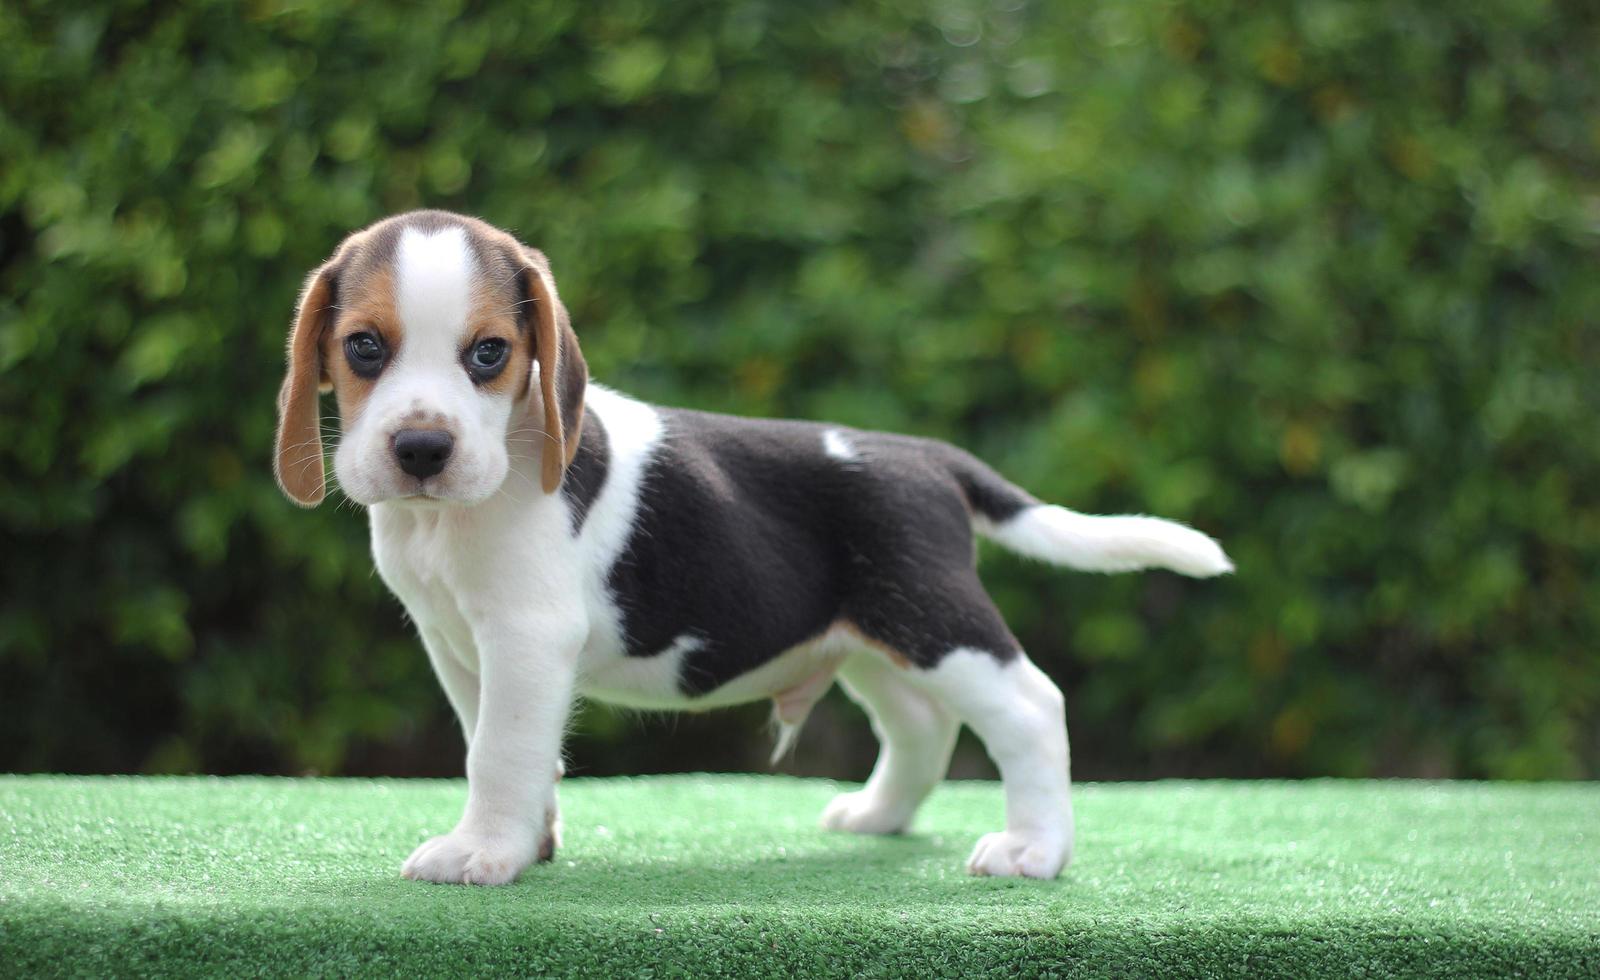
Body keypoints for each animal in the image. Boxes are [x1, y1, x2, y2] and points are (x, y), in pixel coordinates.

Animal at [272, 209, 1235, 883]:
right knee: (922, 724)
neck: (447, 516)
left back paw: (1034, 850)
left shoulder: (525, 637)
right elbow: (500, 743)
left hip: (935, 620)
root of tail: (928, 456)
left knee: (1031, 707)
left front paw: (482, 853)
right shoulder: (456, 644)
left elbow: (499, 752)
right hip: (869, 640)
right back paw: (879, 818)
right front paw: (526, 841)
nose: (421, 450)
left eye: (488, 354)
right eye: (364, 347)